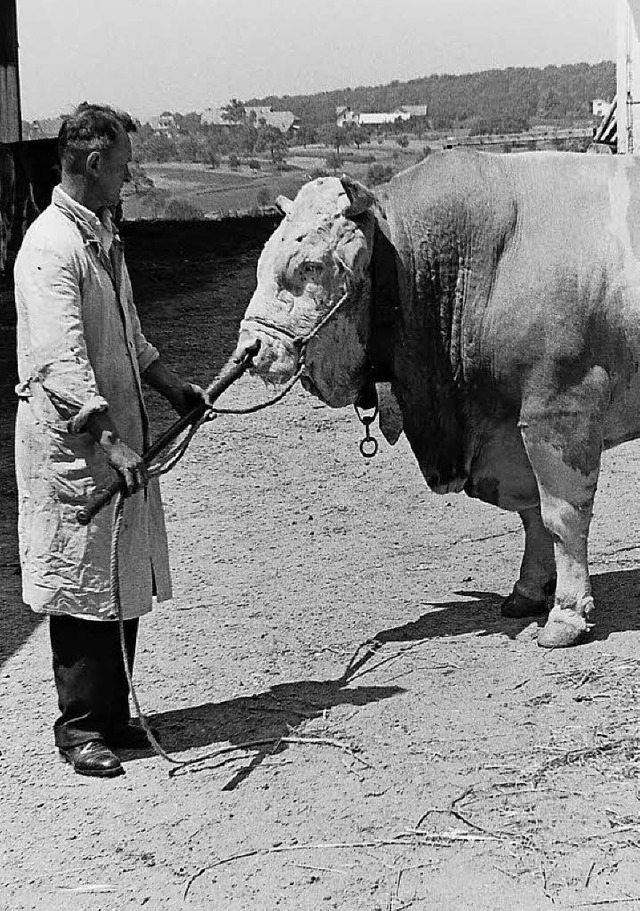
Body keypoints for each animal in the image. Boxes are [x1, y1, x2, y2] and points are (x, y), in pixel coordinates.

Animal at [235, 150, 640, 648]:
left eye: (310, 265)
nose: (250, 349)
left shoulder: (560, 414)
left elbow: (561, 516)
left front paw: (566, 613)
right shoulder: (508, 432)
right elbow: (531, 515)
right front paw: (527, 591)